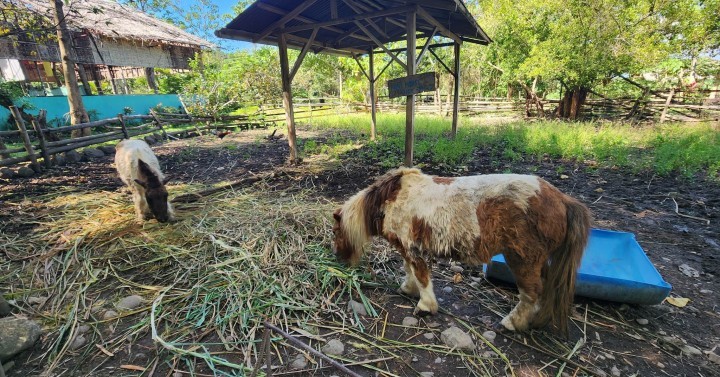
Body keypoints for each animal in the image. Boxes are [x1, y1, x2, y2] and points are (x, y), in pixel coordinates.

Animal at [332, 167, 592, 332]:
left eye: (335, 233)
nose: (338, 259)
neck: (390, 200)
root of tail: (562, 199)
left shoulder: (413, 249)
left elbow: (421, 276)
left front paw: (425, 306)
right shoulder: (406, 248)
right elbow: (409, 271)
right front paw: (408, 289)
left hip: (522, 260)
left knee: (532, 293)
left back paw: (512, 323)